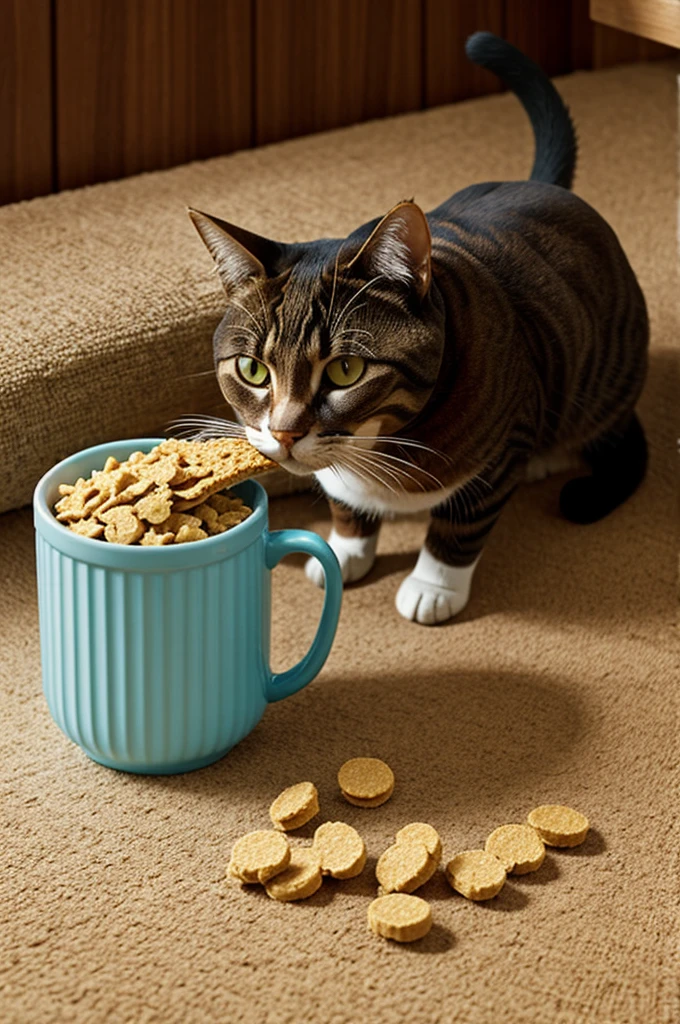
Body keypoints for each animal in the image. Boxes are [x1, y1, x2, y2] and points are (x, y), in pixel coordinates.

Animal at [186, 32, 647, 622]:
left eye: (345, 370)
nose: (285, 434)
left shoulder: (499, 451)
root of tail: (540, 184)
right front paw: (345, 551)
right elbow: (345, 505)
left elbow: (461, 523)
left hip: (602, 378)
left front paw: (432, 586)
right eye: (252, 369)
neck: (377, 444)